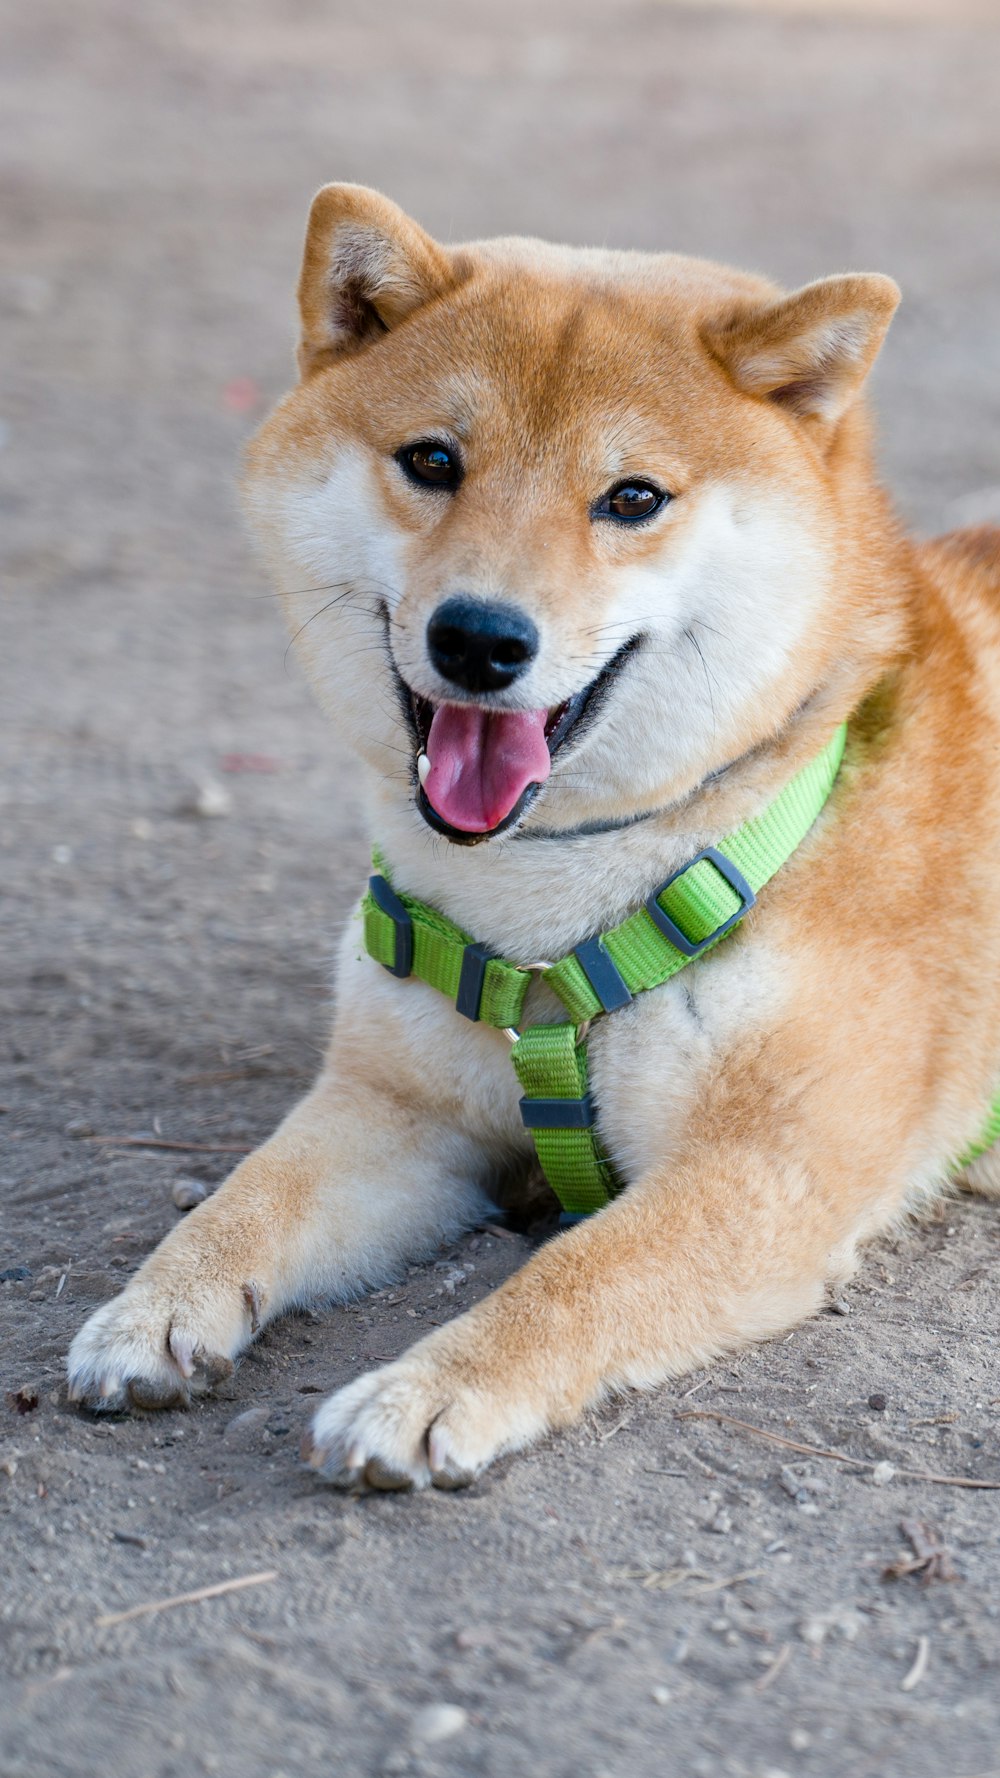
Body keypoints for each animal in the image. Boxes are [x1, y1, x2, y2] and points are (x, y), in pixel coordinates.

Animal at [68, 184, 996, 1486]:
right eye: (432, 460)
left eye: (633, 497)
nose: (478, 637)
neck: (548, 912)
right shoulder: (399, 1110)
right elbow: (245, 1196)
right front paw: (155, 1304)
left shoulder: (762, 1170)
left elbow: (575, 1273)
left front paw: (426, 1386)